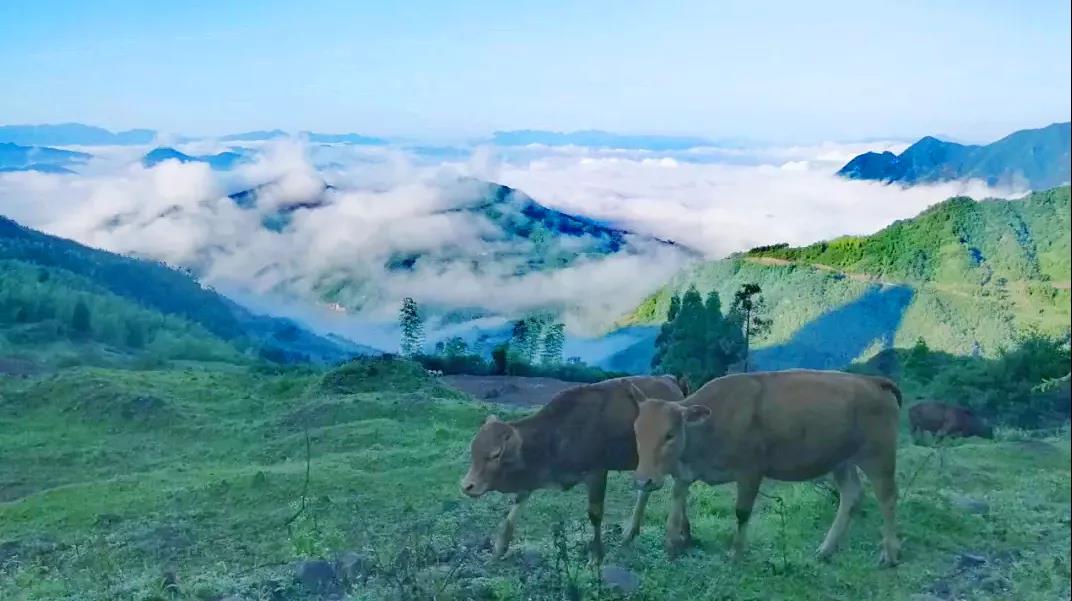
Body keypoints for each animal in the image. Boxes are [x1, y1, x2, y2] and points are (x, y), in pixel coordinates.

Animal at [460, 372, 686, 561]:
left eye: (495, 454)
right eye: (473, 450)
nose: (467, 486)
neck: (556, 434)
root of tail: (670, 380)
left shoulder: (597, 473)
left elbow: (595, 514)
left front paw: (595, 556)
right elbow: (515, 506)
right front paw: (499, 548)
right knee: (647, 490)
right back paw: (632, 534)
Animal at [630, 368, 900, 565]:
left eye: (669, 435)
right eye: (637, 432)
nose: (644, 480)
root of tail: (873, 381)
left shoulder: (750, 471)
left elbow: (741, 512)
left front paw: (737, 553)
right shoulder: (685, 473)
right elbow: (676, 505)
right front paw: (671, 545)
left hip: (879, 455)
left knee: (887, 498)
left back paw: (889, 554)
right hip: (841, 460)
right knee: (851, 495)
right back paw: (825, 550)